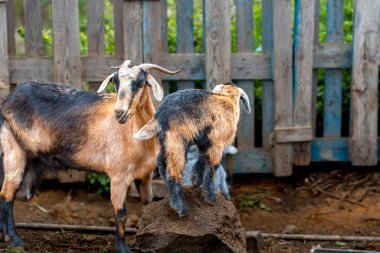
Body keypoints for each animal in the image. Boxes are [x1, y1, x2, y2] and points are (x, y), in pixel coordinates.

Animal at [0, 60, 180, 252]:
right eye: (115, 81)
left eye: (140, 82)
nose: (119, 113)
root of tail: (7, 100)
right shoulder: (119, 175)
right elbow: (121, 214)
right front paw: (122, 248)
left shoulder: (145, 175)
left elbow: (147, 206)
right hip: (14, 150)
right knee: (7, 195)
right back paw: (15, 241)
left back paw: (4, 235)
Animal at [135, 82, 251, 215]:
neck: (227, 98)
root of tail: (158, 115)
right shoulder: (217, 142)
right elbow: (212, 166)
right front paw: (210, 198)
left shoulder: (204, 140)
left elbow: (202, 157)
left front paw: (196, 181)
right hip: (176, 142)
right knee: (173, 172)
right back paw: (180, 208)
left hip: (166, 142)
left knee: (160, 161)